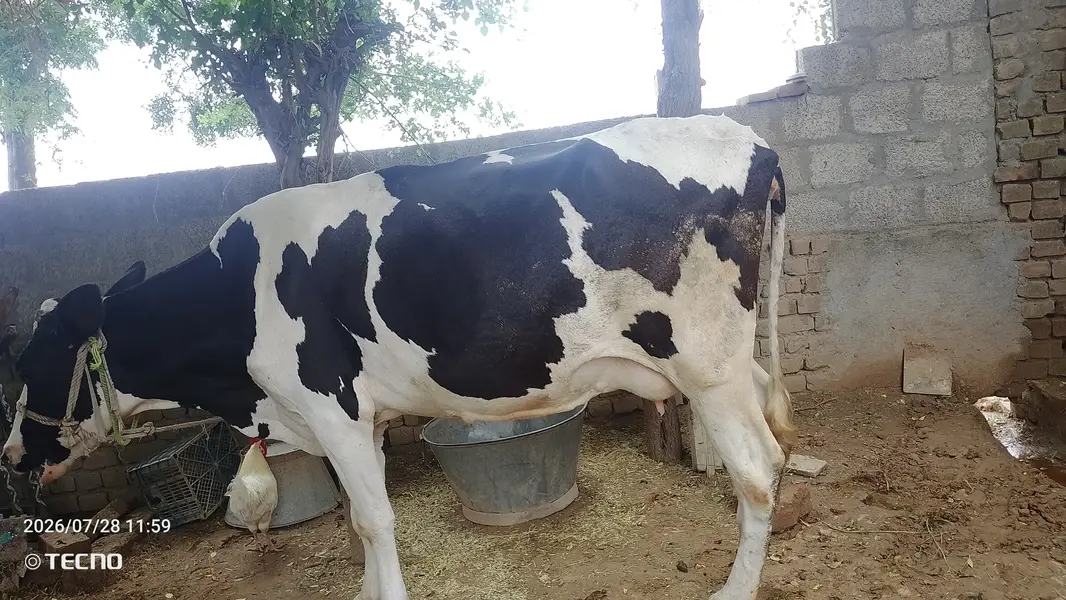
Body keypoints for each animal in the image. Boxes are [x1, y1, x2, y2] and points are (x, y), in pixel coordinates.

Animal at [3, 113, 796, 600]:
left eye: (32, 363)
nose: (11, 455)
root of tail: (748, 138)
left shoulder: (331, 407)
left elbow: (376, 521)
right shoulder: (364, 418)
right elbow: (362, 518)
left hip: (707, 363)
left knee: (758, 470)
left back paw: (735, 588)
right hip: (734, 361)